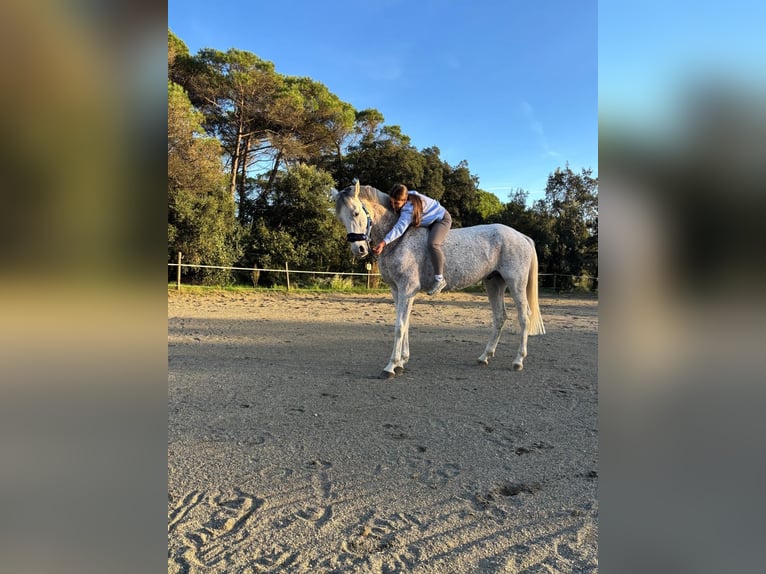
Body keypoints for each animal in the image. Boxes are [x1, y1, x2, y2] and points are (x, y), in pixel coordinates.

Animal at [332, 180, 545, 378]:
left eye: (356, 213)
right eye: (340, 218)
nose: (359, 249)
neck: (400, 238)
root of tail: (522, 237)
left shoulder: (407, 289)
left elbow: (400, 326)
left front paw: (391, 366)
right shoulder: (397, 291)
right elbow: (405, 324)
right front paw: (402, 362)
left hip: (515, 284)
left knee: (524, 317)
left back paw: (518, 361)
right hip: (493, 283)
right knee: (500, 317)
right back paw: (484, 357)